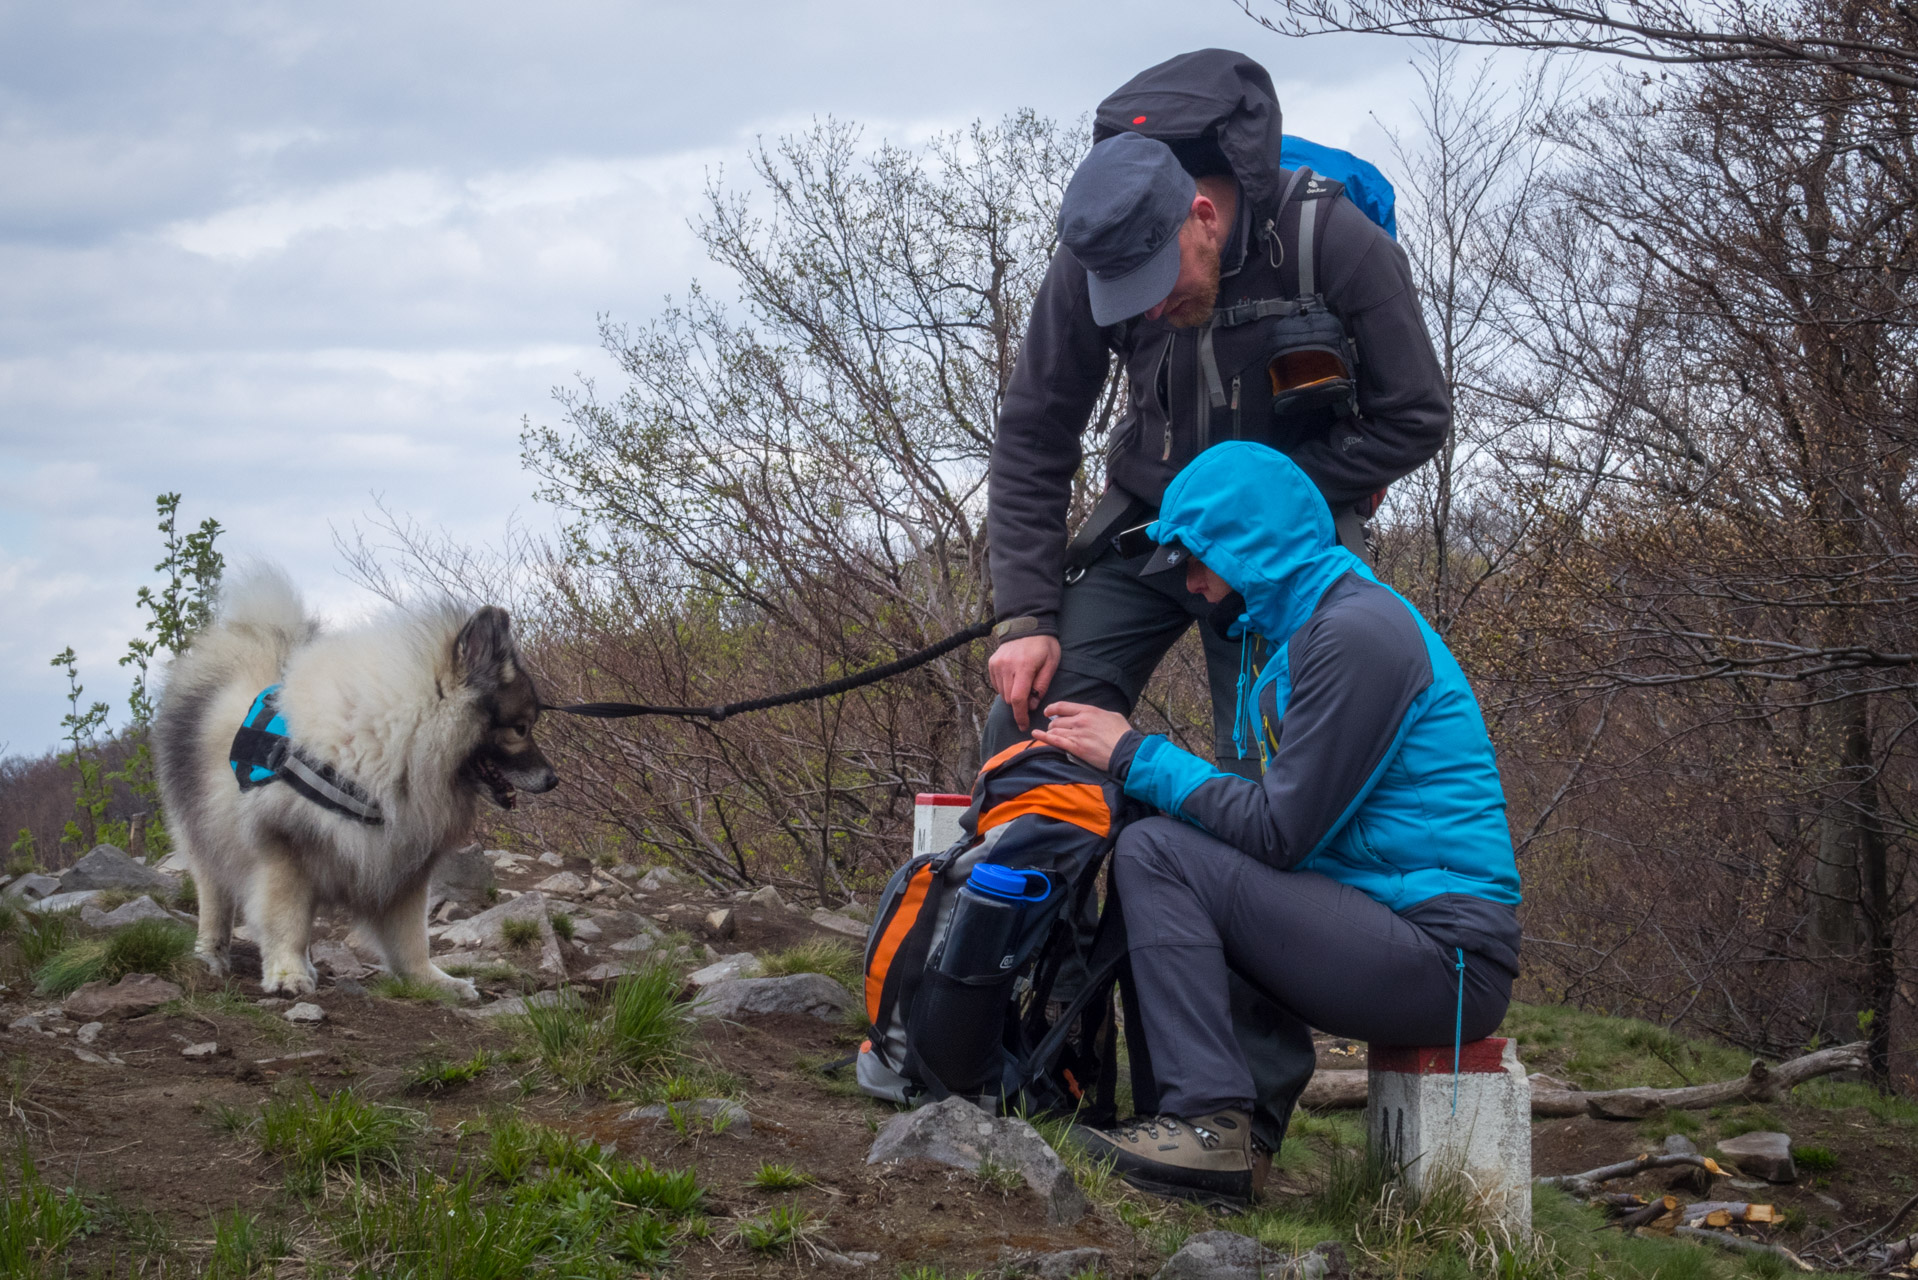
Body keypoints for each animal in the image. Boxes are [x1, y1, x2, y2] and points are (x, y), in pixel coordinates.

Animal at [151, 571, 556, 997]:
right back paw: (211, 953)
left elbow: (412, 939)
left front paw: (431, 981)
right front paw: (287, 973)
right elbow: (286, 922)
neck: (387, 744)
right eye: (520, 729)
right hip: (205, 831)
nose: (553, 779)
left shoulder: (401, 862)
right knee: (214, 896)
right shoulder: (285, 852)